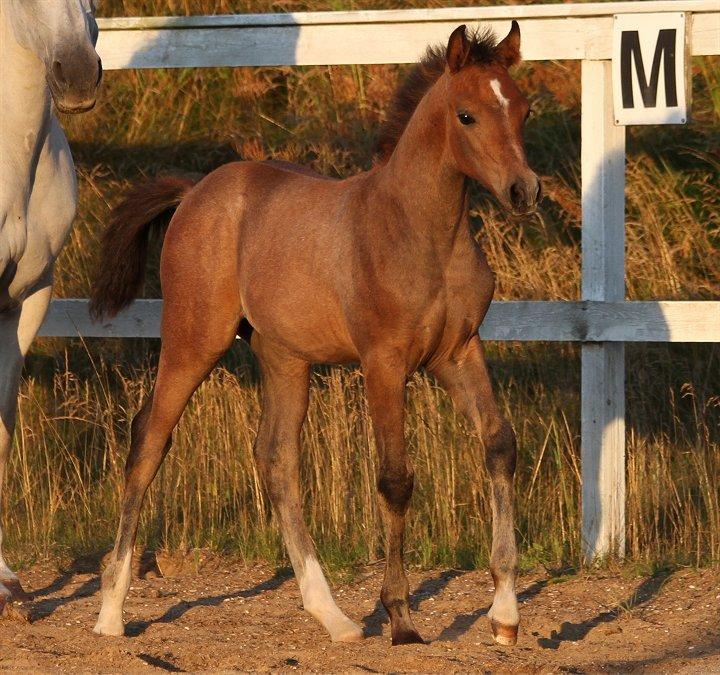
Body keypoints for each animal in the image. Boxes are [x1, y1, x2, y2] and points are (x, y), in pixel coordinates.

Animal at [91, 23, 540, 648]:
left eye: (523, 109)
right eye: (467, 115)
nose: (525, 191)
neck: (421, 232)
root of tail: (196, 191)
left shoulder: (457, 353)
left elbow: (499, 444)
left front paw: (505, 617)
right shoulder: (384, 362)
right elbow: (395, 479)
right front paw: (401, 619)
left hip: (284, 357)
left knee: (276, 459)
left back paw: (333, 616)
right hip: (192, 339)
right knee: (149, 440)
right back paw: (110, 612)